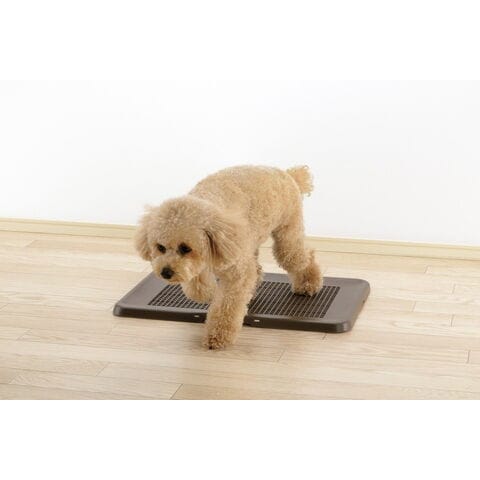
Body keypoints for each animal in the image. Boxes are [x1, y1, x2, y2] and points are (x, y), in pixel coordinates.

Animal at [134, 165, 322, 349]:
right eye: (160, 247)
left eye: (185, 248)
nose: (165, 273)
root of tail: (288, 173)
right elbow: (197, 288)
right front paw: (206, 292)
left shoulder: (236, 273)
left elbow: (227, 307)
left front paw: (217, 337)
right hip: (252, 243)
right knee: (257, 268)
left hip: (287, 234)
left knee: (301, 256)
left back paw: (308, 284)